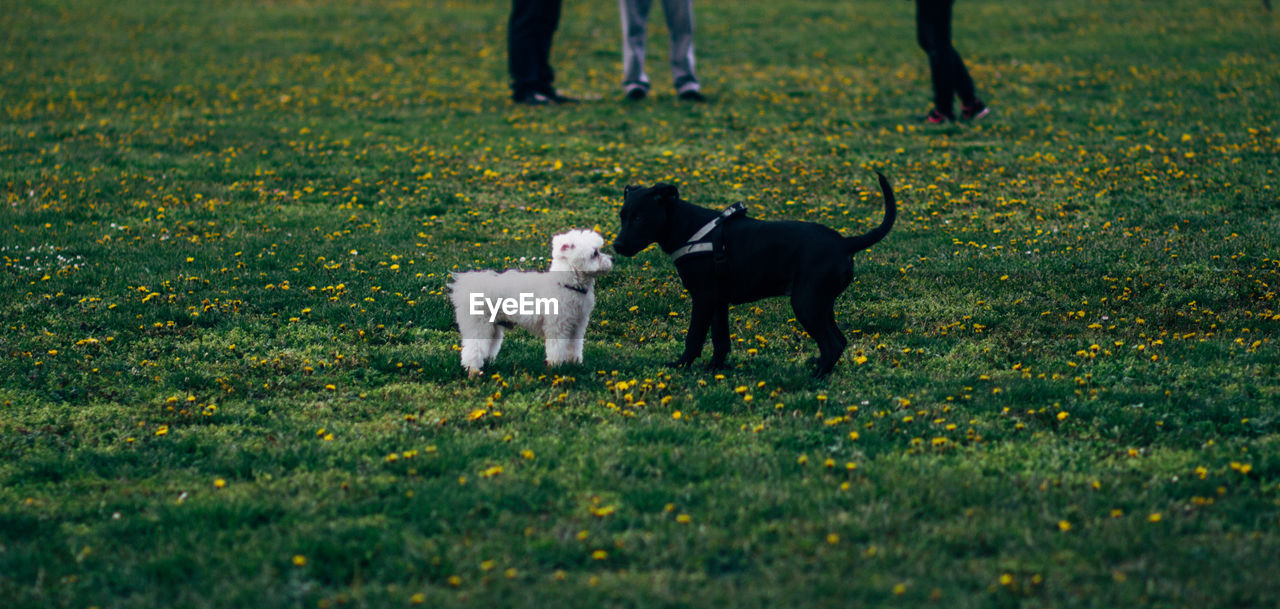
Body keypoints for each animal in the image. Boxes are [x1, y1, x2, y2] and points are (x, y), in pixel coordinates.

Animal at [448, 229, 611, 376]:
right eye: (595, 253)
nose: (613, 259)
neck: (566, 284)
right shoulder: (557, 327)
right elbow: (557, 349)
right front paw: (557, 367)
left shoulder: (577, 325)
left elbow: (575, 347)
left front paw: (575, 364)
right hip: (479, 325)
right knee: (472, 350)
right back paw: (474, 371)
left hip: (493, 327)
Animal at [611, 174, 896, 378]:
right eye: (623, 216)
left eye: (640, 218)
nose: (617, 246)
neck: (688, 228)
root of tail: (844, 243)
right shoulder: (718, 301)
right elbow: (721, 340)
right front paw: (714, 369)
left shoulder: (703, 298)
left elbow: (694, 337)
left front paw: (681, 366)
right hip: (821, 304)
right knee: (839, 340)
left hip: (806, 304)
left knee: (833, 344)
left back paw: (813, 378)